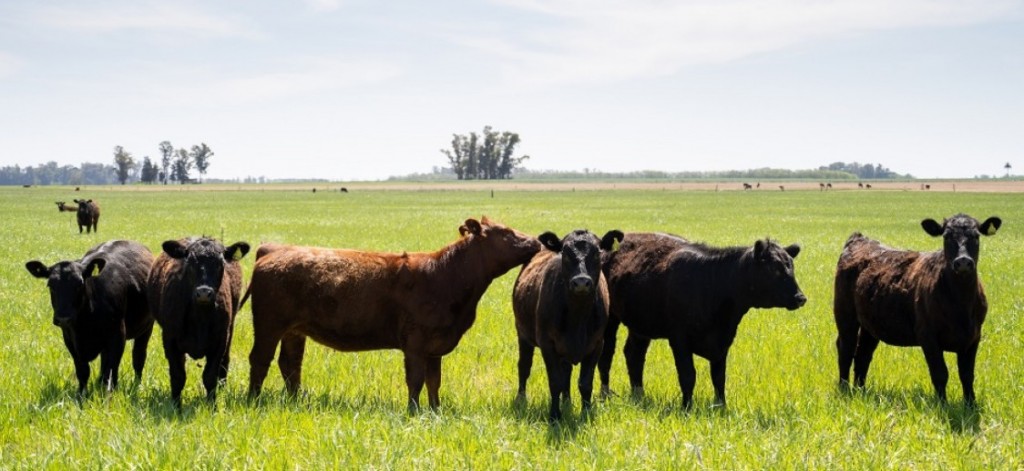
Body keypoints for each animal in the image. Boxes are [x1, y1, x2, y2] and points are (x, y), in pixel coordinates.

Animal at [24, 239, 153, 393]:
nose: (63, 318)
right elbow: (83, 370)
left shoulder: (117, 334)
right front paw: (81, 394)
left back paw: (136, 386)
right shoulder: (69, 338)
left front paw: (109, 393)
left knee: (138, 357)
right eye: (50, 285)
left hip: (146, 327)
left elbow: (111, 370)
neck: (85, 324)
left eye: (79, 284)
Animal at [146, 237, 249, 407]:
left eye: (220, 263)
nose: (204, 293)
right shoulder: (170, 340)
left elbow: (210, 376)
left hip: (231, 328)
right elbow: (178, 376)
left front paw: (211, 405)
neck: (199, 317)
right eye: (189, 262)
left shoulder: (220, 341)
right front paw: (176, 406)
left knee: (225, 362)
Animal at [245, 215, 544, 409]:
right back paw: (253, 400)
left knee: (290, 364)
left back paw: (296, 400)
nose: (537, 241)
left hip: (294, 331)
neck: (446, 275)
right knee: (260, 360)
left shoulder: (435, 346)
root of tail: (273, 250)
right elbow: (416, 380)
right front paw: (413, 411)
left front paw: (435, 410)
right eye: (506, 232)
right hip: (269, 325)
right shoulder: (415, 343)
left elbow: (434, 381)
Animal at [593, 231, 806, 407]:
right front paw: (687, 407)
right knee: (607, 355)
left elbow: (719, 377)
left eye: (791, 267)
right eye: (774, 269)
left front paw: (721, 407)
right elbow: (688, 375)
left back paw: (639, 395)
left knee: (634, 355)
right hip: (611, 320)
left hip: (641, 326)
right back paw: (606, 395)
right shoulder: (679, 339)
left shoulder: (723, 340)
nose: (800, 297)